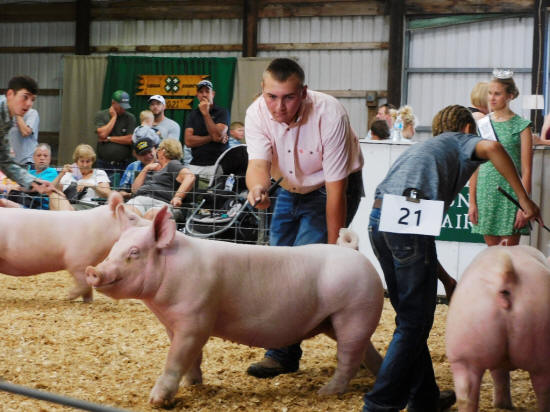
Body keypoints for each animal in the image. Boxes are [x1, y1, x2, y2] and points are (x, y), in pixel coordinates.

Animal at [0, 192, 144, 302]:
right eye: (132, 218)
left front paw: (88, 301)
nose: (148, 224)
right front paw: (67, 297)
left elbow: (88, 285)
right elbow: (83, 283)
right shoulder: (76, 260)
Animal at [85, 205, 384, 407]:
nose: (93, 270)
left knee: (348, 357)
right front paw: (194, 384)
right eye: (114, 248)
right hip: (337, 321)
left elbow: (176, 358)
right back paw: (375, 376)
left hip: (353, 312)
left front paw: (157, 401)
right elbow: (191, 357)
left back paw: (327, 392)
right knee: (365, 351)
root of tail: (352, 251)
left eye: (134, 252)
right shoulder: (174, 323)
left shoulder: (196, 319)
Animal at [446, 245, 550, 412]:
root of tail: (507, 274)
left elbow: (499, 374)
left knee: (465, 394)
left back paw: (501, 405)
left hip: (463, 348)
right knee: (544, 391)